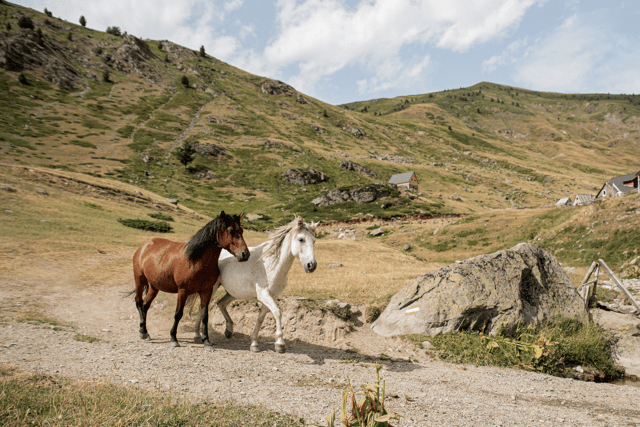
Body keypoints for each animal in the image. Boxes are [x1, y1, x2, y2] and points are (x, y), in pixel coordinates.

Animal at [131, 211, 249, 349]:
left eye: (241, 230)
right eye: (230, 231)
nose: (245, 254)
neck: (195, 260)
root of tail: (144, 246)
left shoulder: (206, 291)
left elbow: (204, 315)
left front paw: (206, 340)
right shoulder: (183, 291)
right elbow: (178, 314)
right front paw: (173, 338)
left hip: (154, 287)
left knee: (145, 305)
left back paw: (145, 332)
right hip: (139, 281)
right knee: (139, 302)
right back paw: (142, 332)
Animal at [192, 216, 318, 353]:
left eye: (314, 241)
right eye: (301, 239)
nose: (311, 265)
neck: (272, 264)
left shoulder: (272, 295)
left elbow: (260, 318)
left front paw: (254, 343)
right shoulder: (264, 295)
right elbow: (277, 312)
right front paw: (280, 344)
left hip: (233, 292)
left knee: (220, 303)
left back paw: (228, 330)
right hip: (213, 287)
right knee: (202, 307)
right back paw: (197, 335)